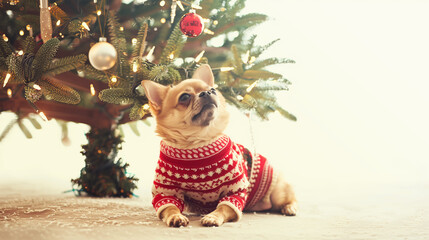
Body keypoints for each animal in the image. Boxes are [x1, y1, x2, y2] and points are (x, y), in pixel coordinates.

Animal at [142, 63, 296, 227]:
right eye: (184, 97)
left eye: (213, 90)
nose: (207, 92)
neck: (197, 143)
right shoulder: (166, 191)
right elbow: (170, 207)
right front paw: (176, 216)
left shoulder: (235, 189)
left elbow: (224, 207)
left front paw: (213, 217)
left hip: (277, 193)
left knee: (289, 199)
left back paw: (290, 208)